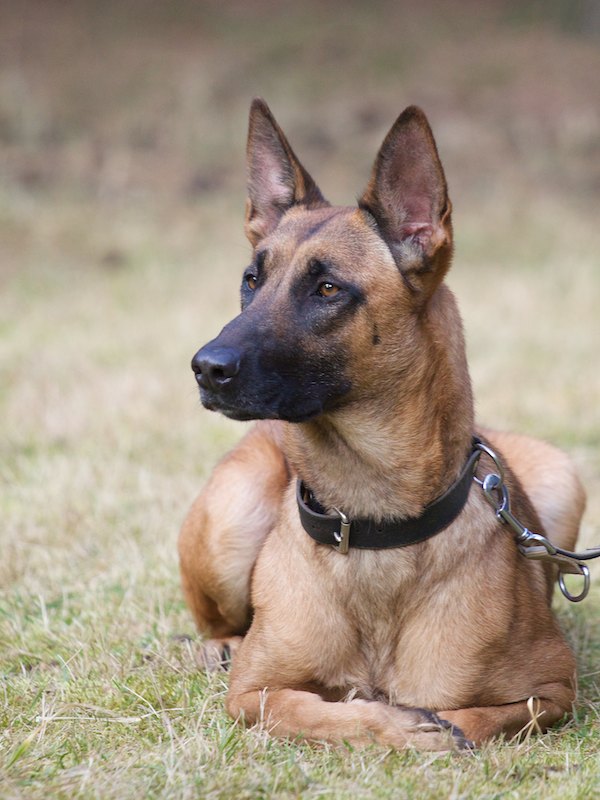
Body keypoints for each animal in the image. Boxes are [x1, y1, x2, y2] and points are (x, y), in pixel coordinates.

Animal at [178, 100, 586, 750]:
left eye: (327, 288)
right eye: (251, 280)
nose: (205, 368)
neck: (372, 527)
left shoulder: (554, 690)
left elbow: (475, 716)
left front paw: (431, 726)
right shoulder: (251, 693)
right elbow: (321, 710)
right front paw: (397, 724)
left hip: (562, 478)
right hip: (231, 510)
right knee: (217, 623)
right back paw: (219, 645)